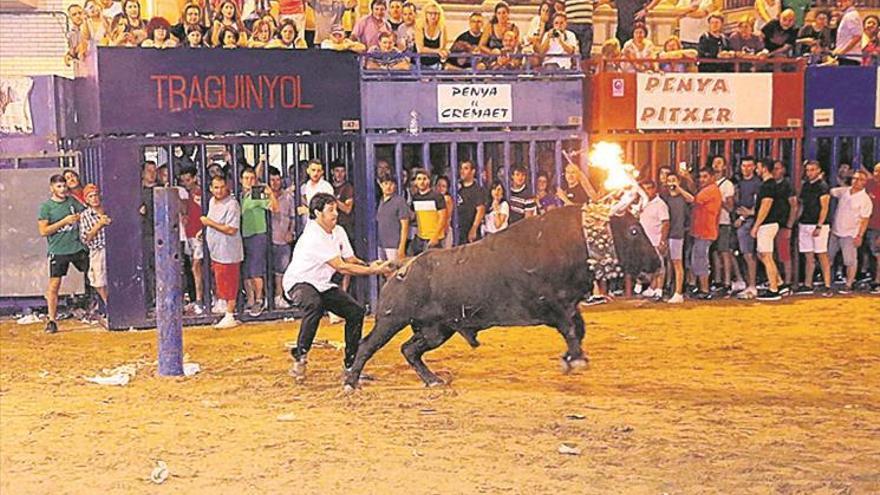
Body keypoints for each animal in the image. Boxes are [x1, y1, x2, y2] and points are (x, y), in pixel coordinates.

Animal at [344, 205, 660, 392]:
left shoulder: (569, 306)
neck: (577, 239)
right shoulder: (554, 306)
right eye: (634, 230)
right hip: (391, 321)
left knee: (410, 350)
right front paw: (576, 360)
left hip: (438, 330)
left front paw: (571, 359)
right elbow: (571, 330)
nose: (657, 263)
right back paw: (351, 382)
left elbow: (577, 331)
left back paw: (433, 380)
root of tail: (402, 267)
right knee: (367, 345)